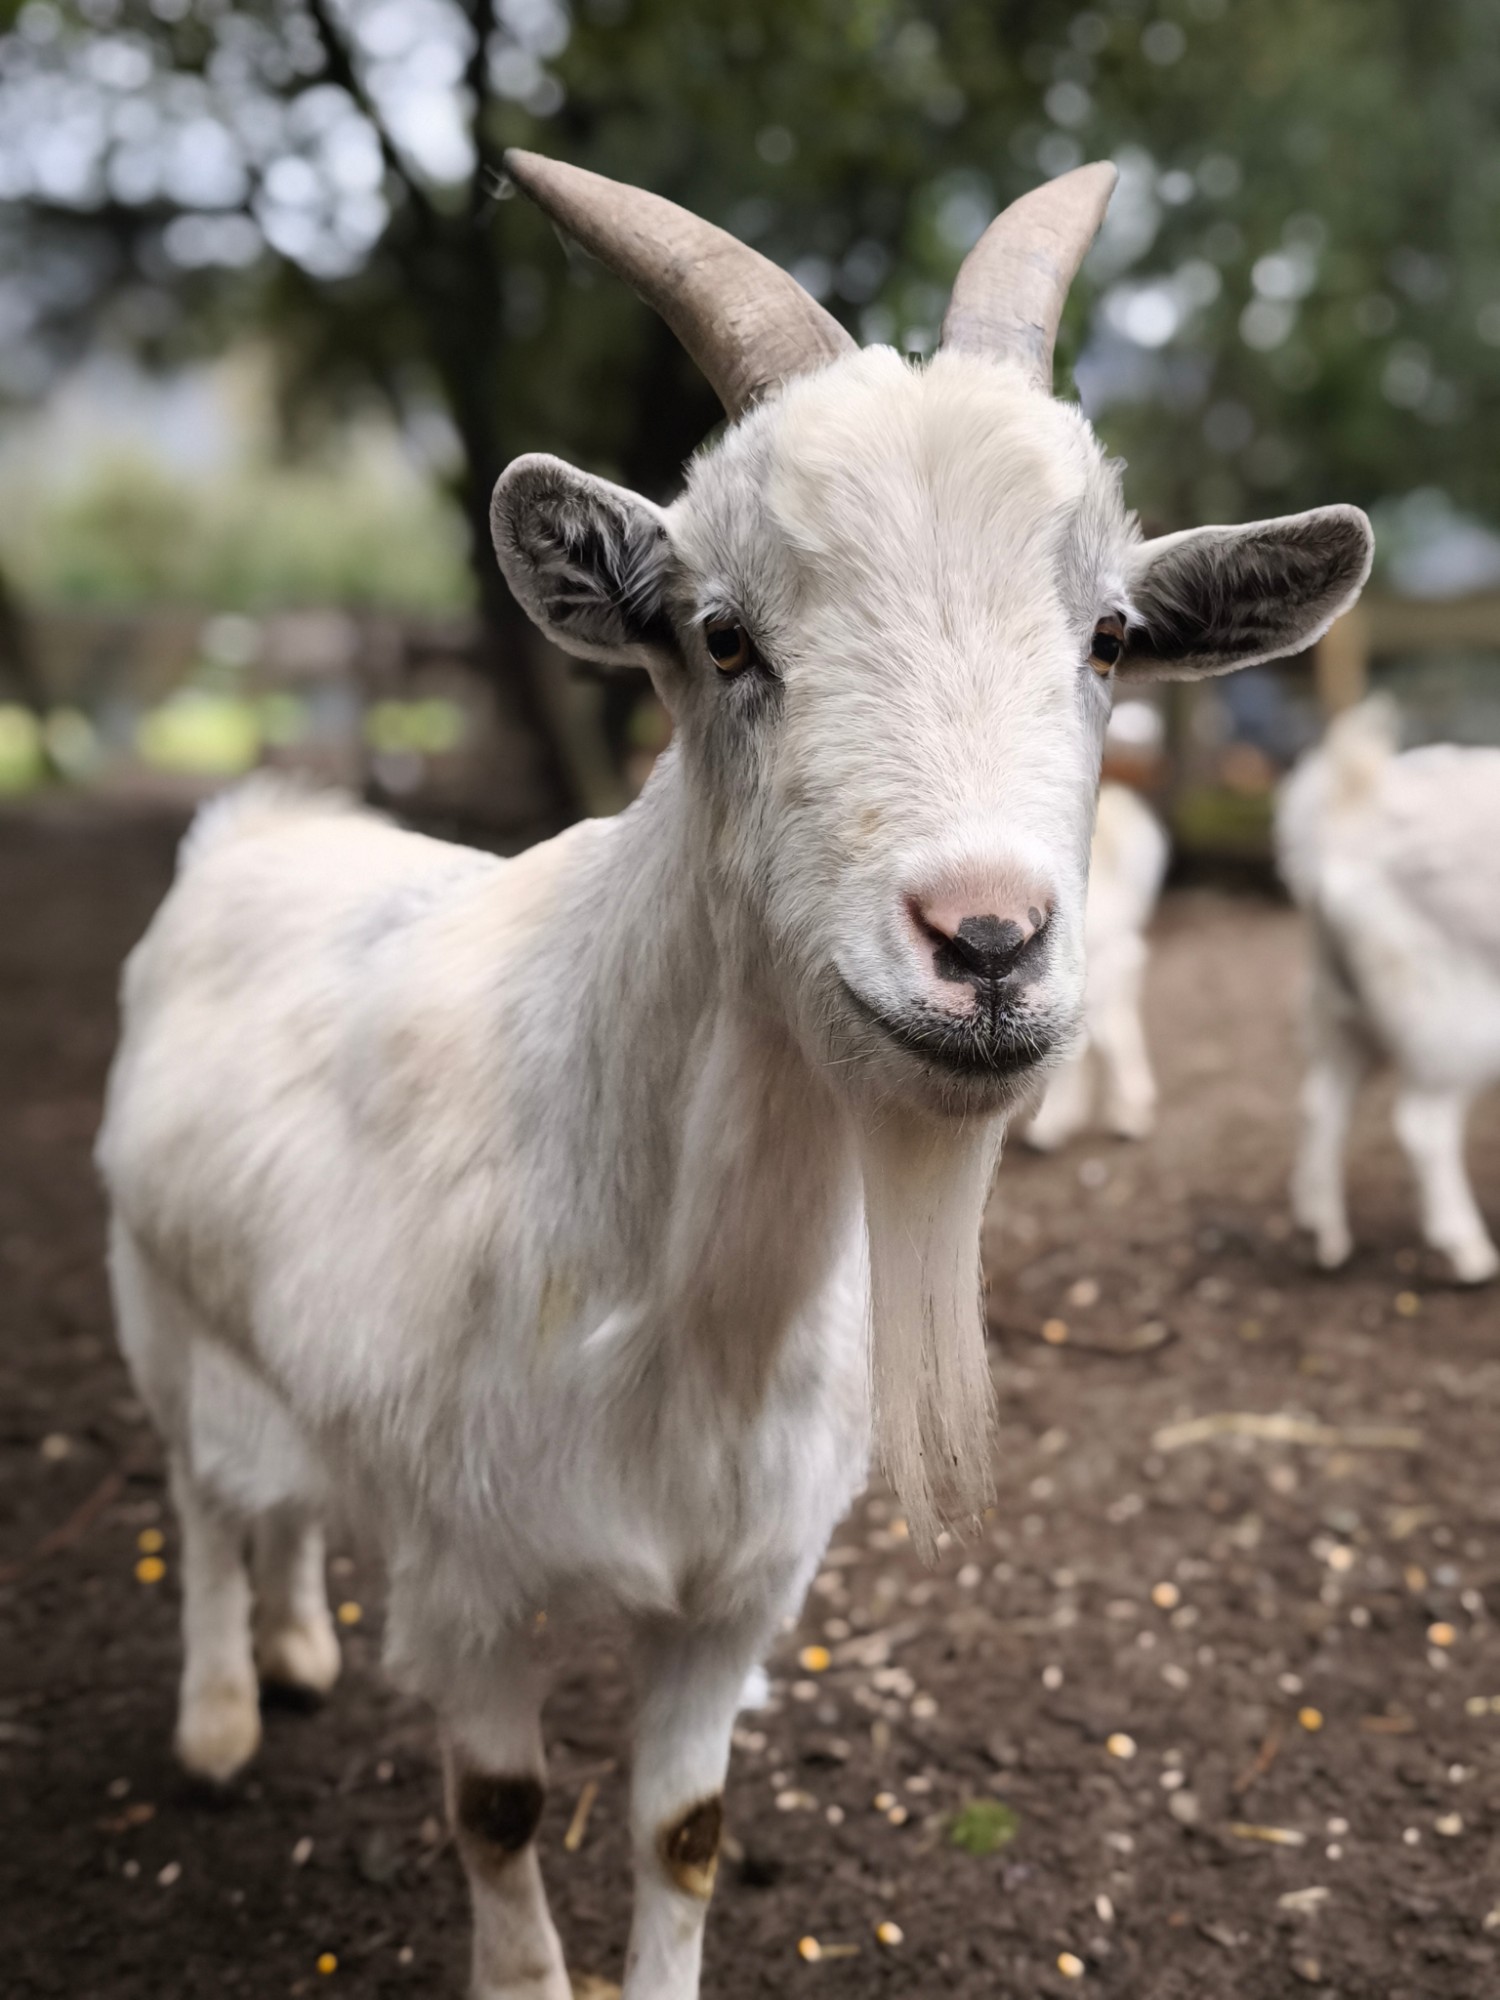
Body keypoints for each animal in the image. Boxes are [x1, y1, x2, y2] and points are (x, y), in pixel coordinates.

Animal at [1278, 694, 1500, 1284]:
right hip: (1453, 1020)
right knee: (1422, 1126)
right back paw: (1467, 1250)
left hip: (1345, 1011)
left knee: (1321, 1101)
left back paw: (1323, 1233)